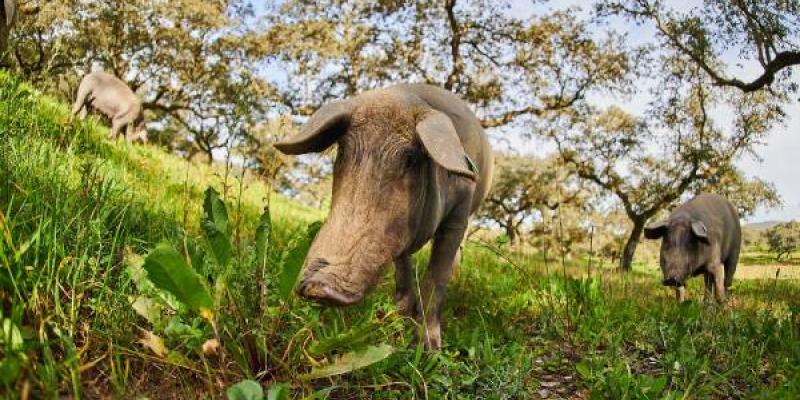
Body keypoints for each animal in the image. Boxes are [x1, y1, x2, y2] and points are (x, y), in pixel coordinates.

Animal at [274, 84, 493, 350]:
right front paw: (400, 315)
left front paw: (428, 348)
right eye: (343, 151)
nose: (319, 288)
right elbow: (402, 265)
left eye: (411, 159)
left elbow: (437, 276)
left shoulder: (460, 211)